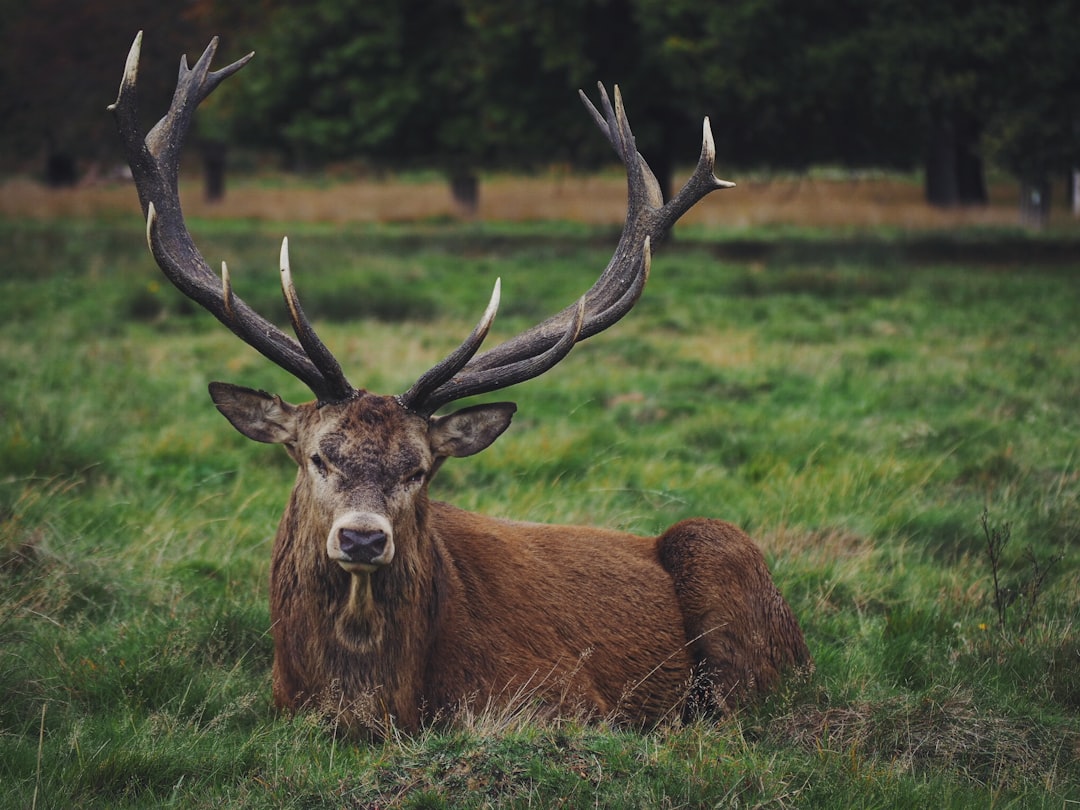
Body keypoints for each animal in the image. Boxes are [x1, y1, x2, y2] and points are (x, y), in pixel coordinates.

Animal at [110, 33, 810, 735]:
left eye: (419, 468)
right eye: (317, 457)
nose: (362, 537)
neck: (377, 704)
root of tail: (801, 641)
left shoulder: (568, 697)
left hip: (722, 557)